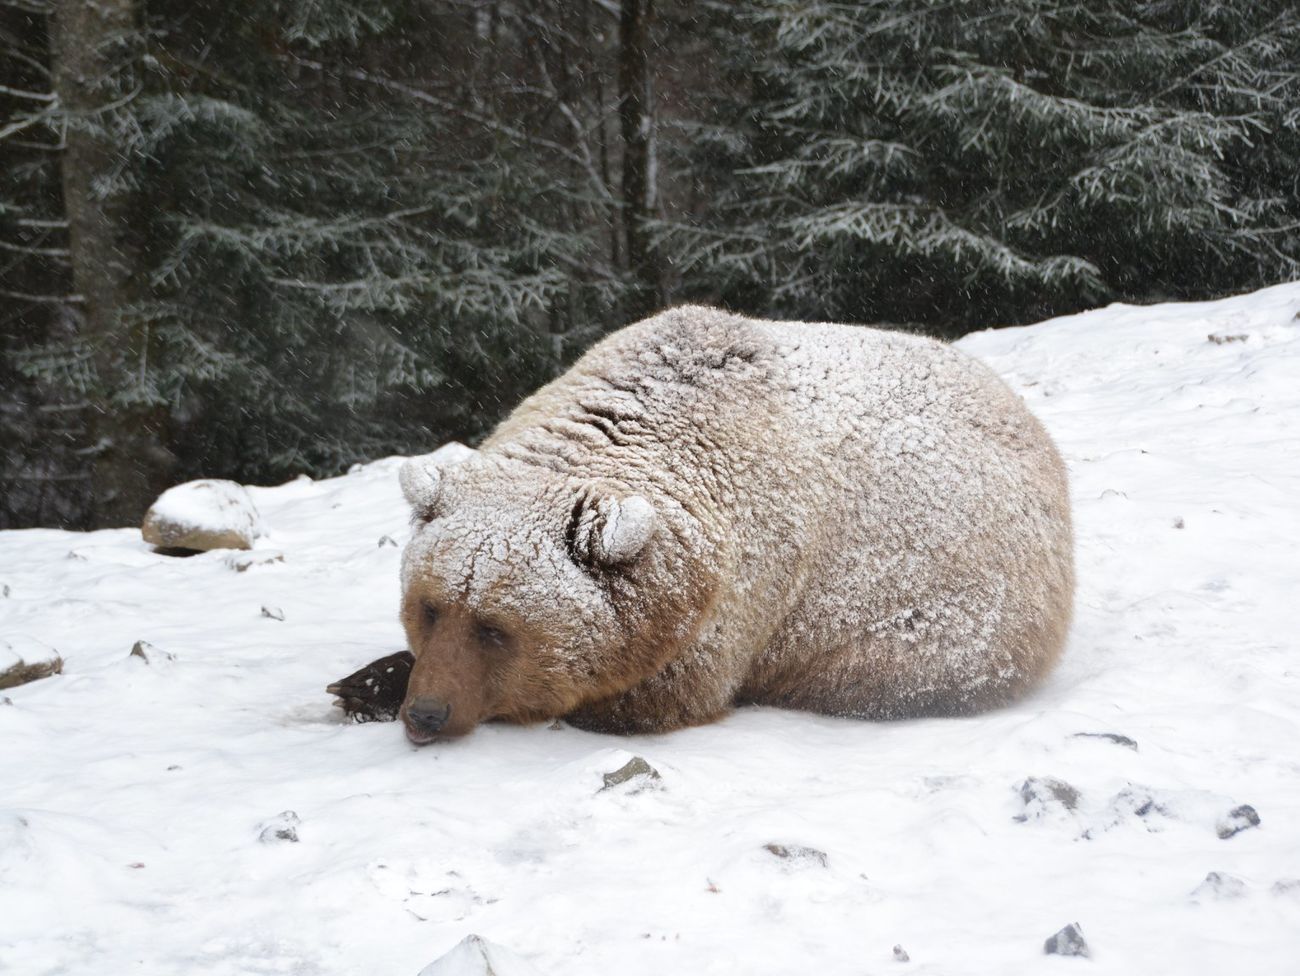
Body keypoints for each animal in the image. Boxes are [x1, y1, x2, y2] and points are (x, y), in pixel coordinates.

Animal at [330, 301, 1071, 743]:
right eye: (430, 607)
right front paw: (365, 681)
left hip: (942, 619)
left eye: (496, 629)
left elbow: (639, 696)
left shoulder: (741, 592)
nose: (428, 714)